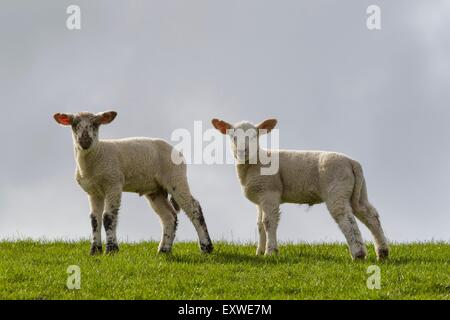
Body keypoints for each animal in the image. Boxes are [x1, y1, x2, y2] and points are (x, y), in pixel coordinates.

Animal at [52, 110, 214, 255]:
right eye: (74, 124)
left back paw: (206, 248)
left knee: (193, 208)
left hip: (176, 177)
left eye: (95, 124)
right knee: (169, 217)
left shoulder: (113, 184)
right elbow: (94, 220)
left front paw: (112, 250)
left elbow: (108, 217)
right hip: (156, 190)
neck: (98, 154)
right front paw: (94, 251)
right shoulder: (93, 191)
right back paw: (163, 251)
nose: (85, 141)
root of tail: (177, 151)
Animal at [213, 117, 388, 260]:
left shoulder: (270, 192)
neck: (254, 162)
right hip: (358, 191)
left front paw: (271, 252)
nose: (243, 151)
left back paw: (358, 254)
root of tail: (352, 163)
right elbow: (259, 225)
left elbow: (269, 222)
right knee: (370, 215)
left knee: (346, 218)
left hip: (337, 189)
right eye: (233, 136)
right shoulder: (260, 197)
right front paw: (259, 252)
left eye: (255, 136)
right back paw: (382, 252)